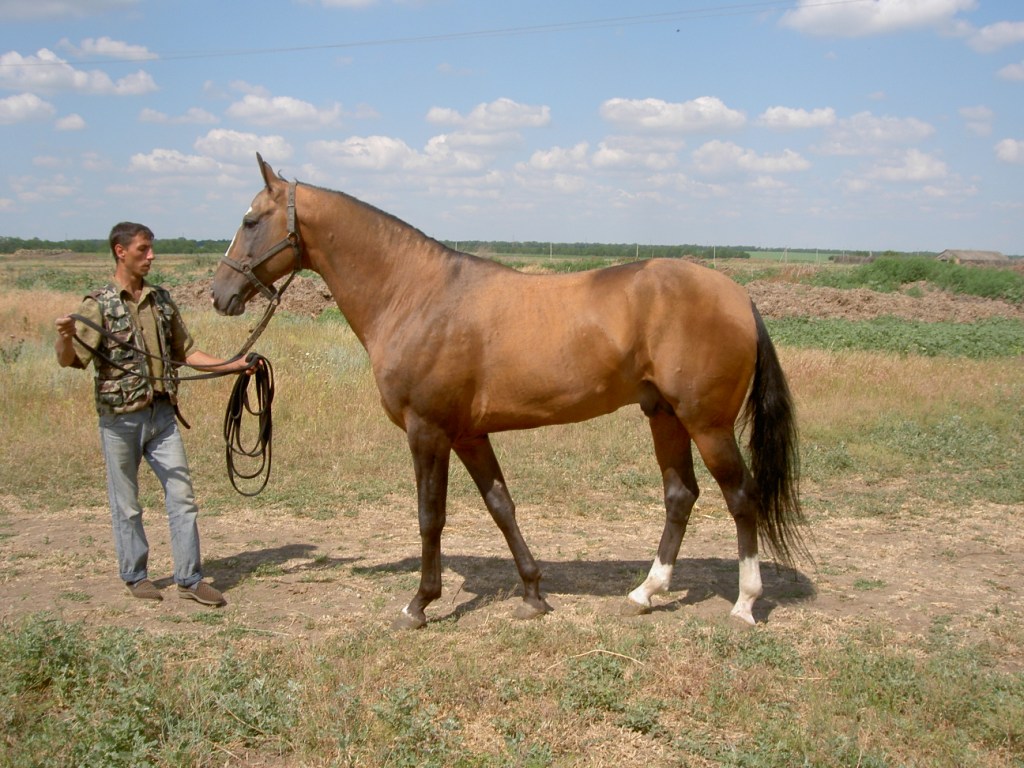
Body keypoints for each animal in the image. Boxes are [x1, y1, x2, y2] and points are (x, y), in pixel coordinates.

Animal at [214, 154, 806, 630]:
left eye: (249, 220)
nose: (221, 293)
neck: (414, 294)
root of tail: (739, 296)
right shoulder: (469, 435)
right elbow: (501, 505)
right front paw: (533, 593)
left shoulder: (427, 431)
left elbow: (431, 517)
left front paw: (419, 604)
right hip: (664, 415)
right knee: (680, 495)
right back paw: (645, 592)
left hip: (707, 424)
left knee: (742, 497)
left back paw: (744, 604)